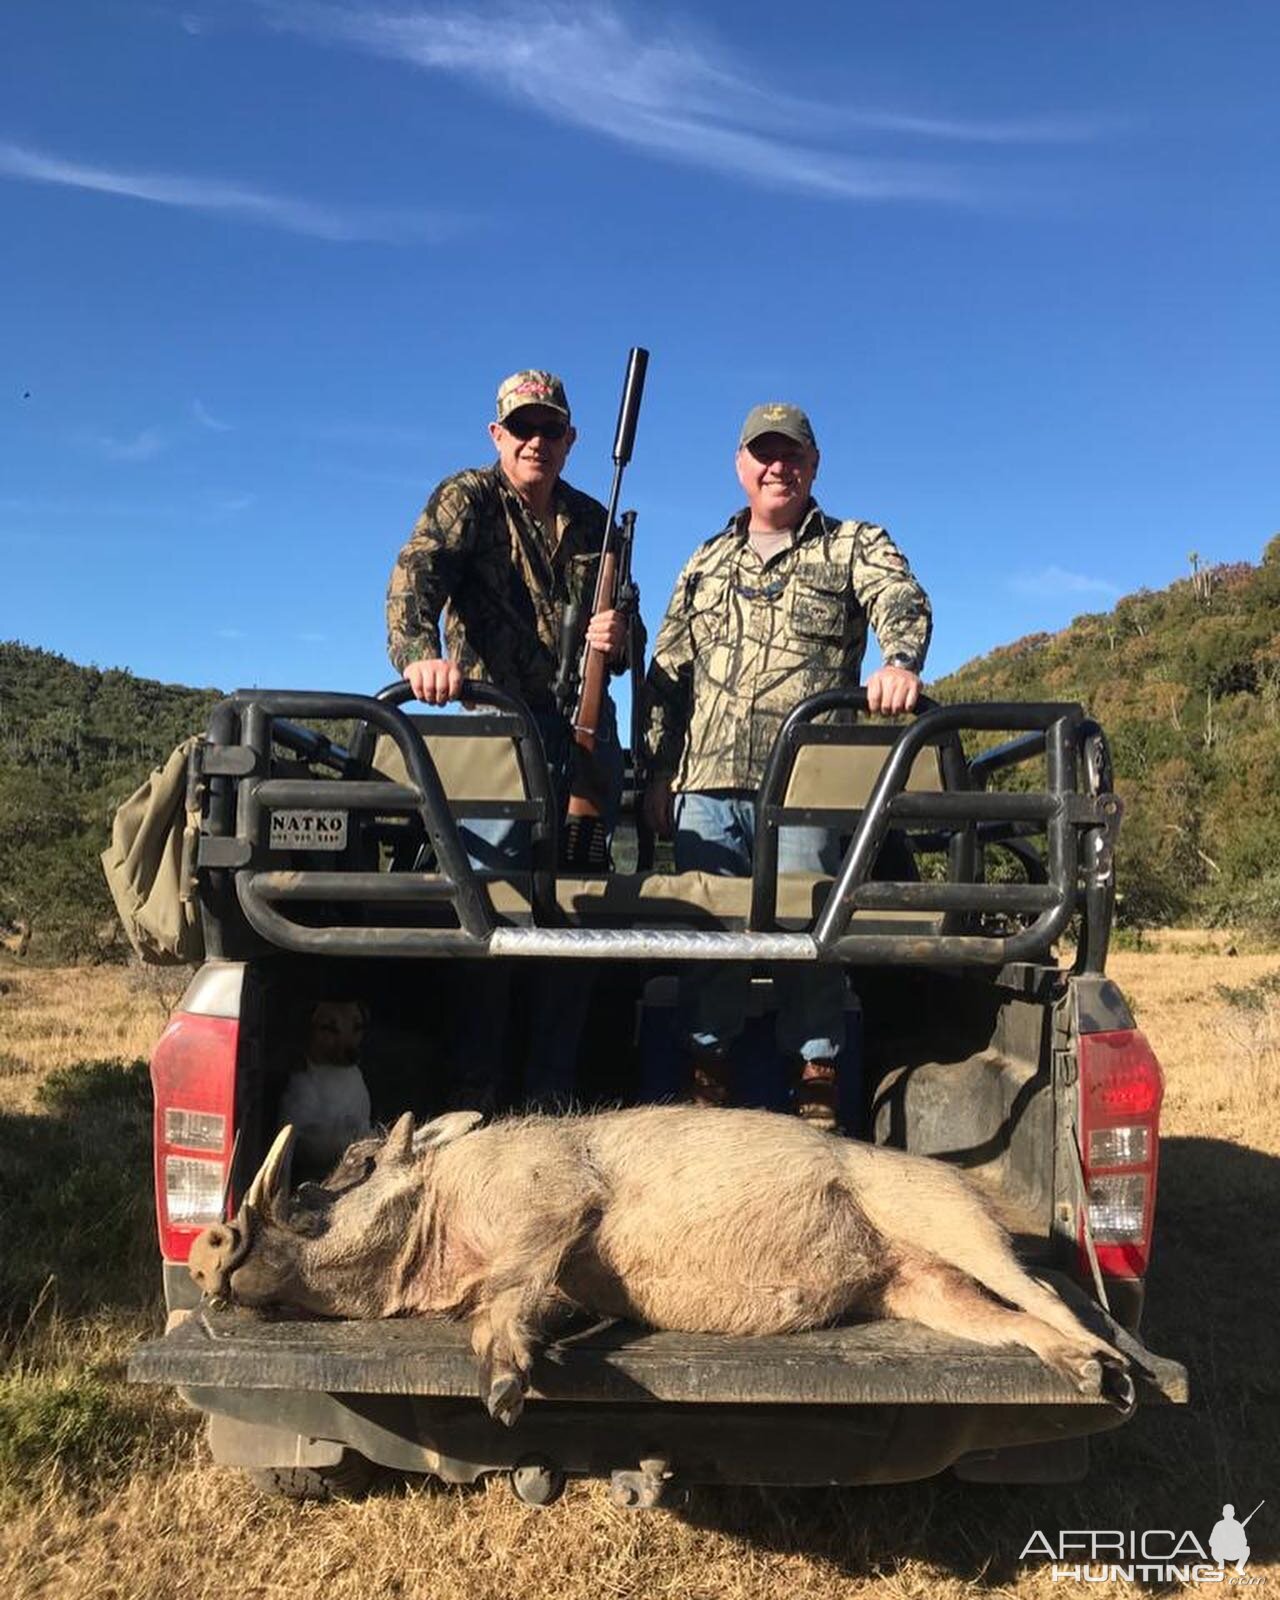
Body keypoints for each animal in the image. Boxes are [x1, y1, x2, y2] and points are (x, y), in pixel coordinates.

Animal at [281, 1004, 374, 1171]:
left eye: (358, 1025)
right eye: (328, 1027)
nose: (354, 1055)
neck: (333, 1076)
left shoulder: (361, 1126)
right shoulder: (291, 1132)